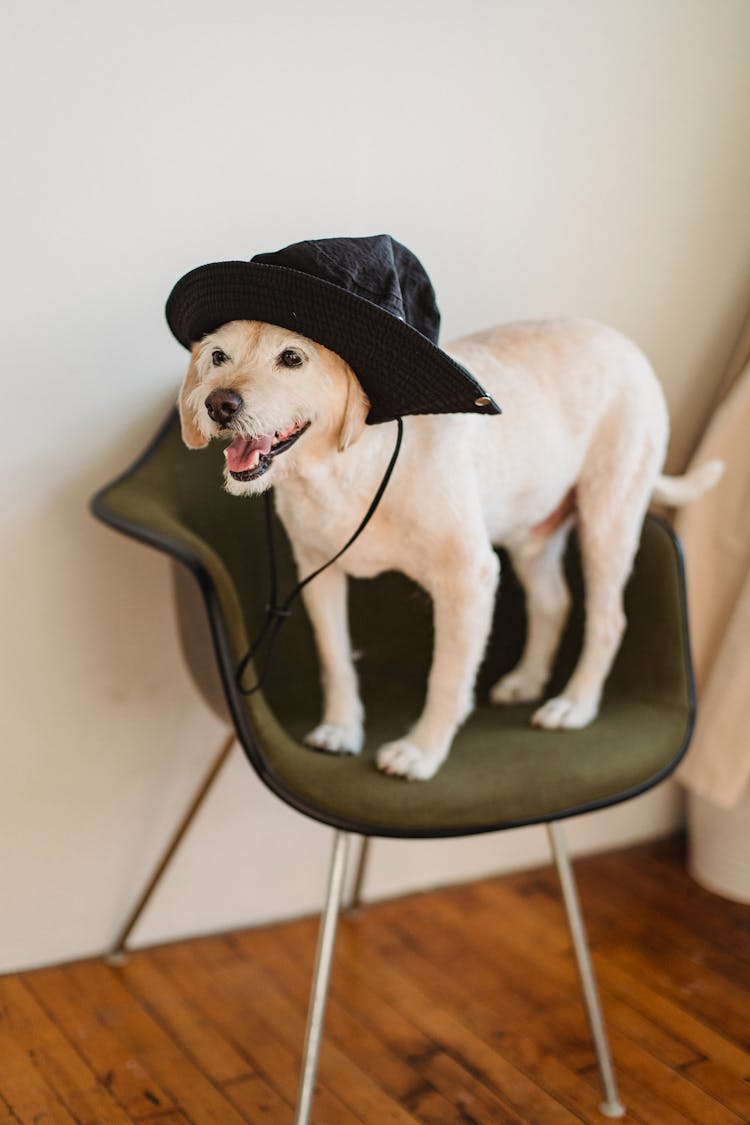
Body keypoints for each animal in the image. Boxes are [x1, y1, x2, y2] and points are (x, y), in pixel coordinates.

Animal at [178, 312, 724, 778]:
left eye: (292, 357)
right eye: (218, 355)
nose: (218, 404)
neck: (345, 470)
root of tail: (622, 341)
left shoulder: (467, 579)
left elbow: (446, 677)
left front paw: (421, 752)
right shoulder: (317, 572)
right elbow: (335, 659)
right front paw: (341, 728)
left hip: (608, 518)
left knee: (608, 621)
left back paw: (575, 705)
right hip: (531, 536)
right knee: (554, 603)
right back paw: (528, 679)